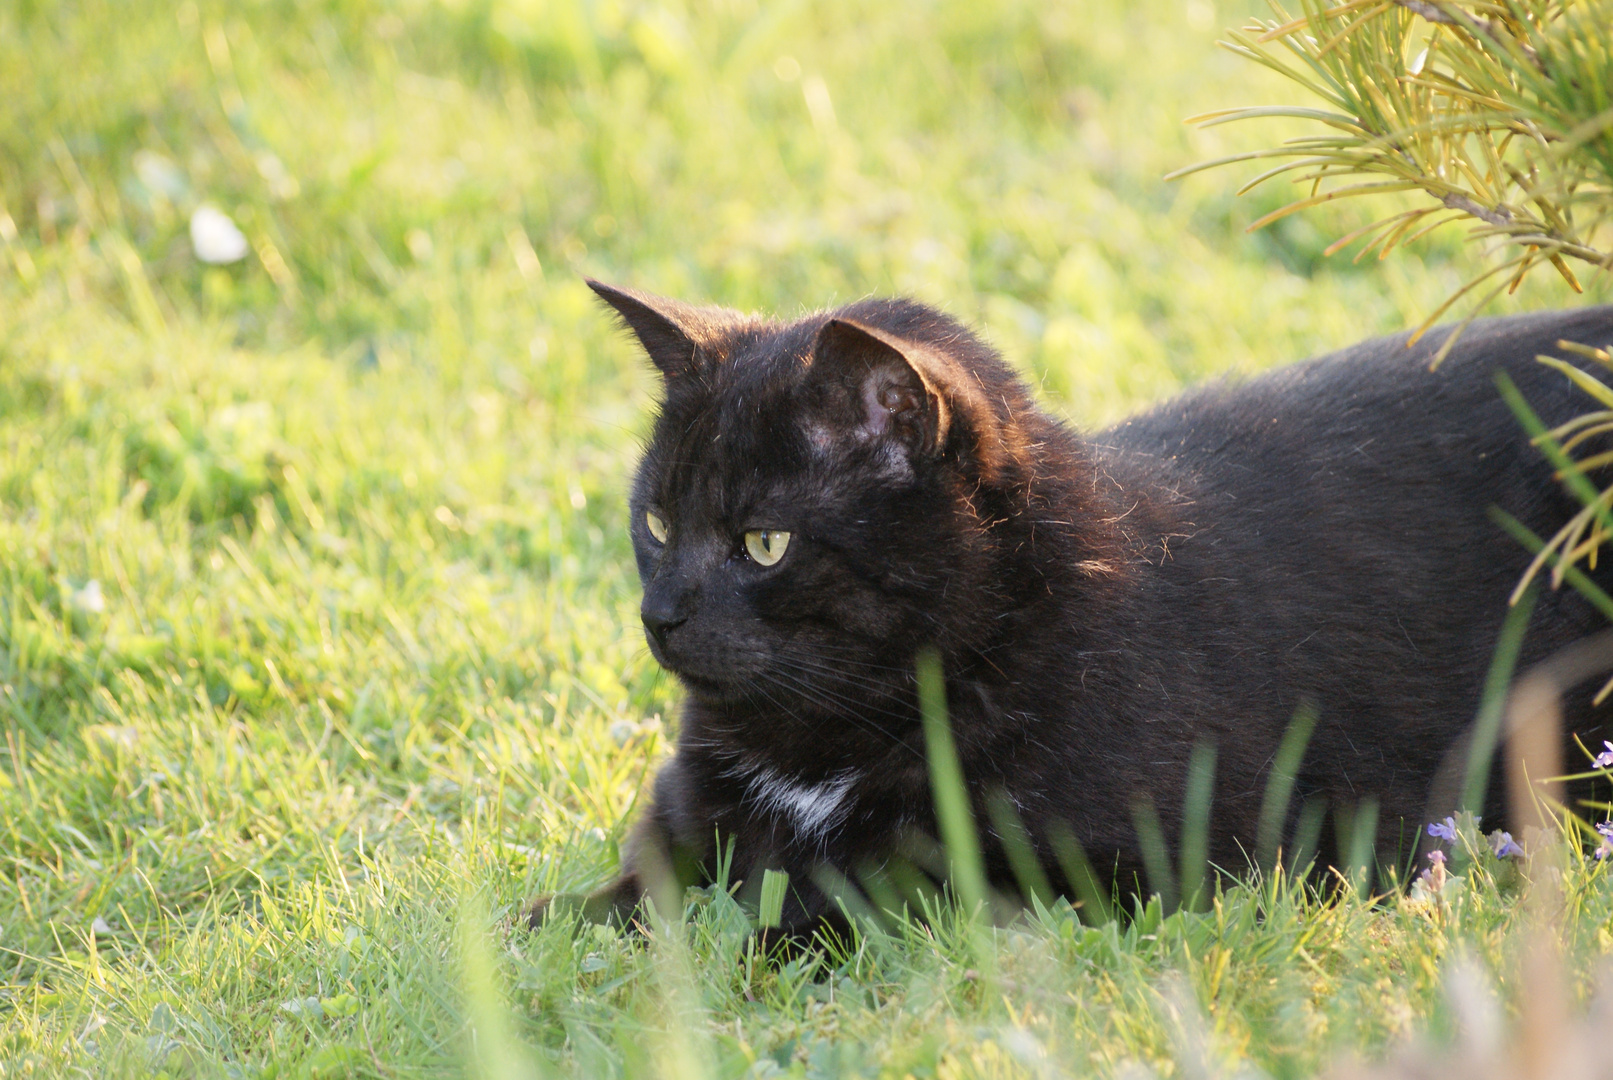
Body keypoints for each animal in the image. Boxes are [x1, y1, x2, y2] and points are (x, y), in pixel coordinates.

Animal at [535, 285, 1613, 941]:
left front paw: (759, 944)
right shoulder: (683, 831)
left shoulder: (1127, 871)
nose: (660, 614)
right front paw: (526, 944)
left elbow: (876, 900)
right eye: (656, 523)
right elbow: (602, 904)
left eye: (764, 543)